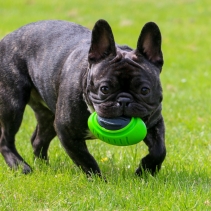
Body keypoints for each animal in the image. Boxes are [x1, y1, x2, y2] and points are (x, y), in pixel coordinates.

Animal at [0, 19, 166, 176]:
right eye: (104, 89)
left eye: (144, 90)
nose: (124, 101)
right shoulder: (67, 132)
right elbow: (85, 159)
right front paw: (98, 180)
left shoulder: (155, 122)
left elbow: (159, 150)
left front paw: (146, 170)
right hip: (13, 106)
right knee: (6, 140)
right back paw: (19, 166)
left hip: (48, 115)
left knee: (38, 140)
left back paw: (44, 167)